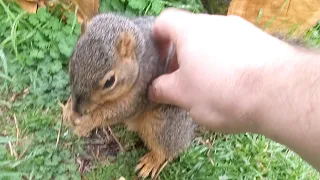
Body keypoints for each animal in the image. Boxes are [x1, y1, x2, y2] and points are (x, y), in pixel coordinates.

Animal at [62, 12, 198, 179]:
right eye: (71, 62)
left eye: (110, 82)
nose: (78, 109)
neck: (138, 58)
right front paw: (67, 110)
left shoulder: (141, 92)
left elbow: (118, 111)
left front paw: (86, 122)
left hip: (163, 123)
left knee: (168, 149)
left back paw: (152, 161)